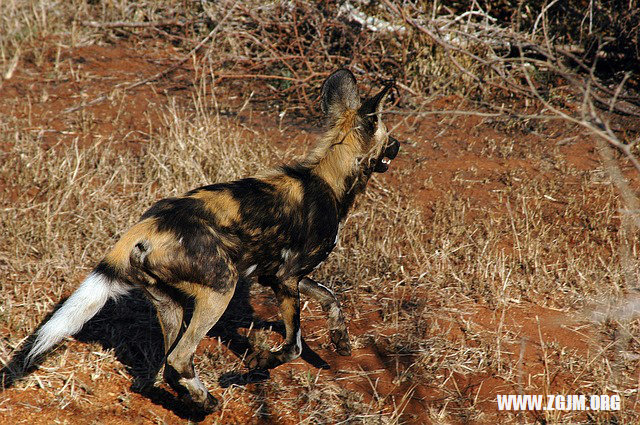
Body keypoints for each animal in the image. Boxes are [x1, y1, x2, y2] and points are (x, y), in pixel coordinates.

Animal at [28, 68, 400, 410]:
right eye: (388, 135)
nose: (397, 147)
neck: (329, 178)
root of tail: (148, 225)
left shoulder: (278, 276)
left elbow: (331, 297)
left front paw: (340, 340)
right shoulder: (286, 277)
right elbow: (293, 346)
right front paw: (258, 364)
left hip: (171, 304)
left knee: (168, 365)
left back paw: (193, 397)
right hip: (222, 289)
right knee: (178, 358)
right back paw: (205, 399)